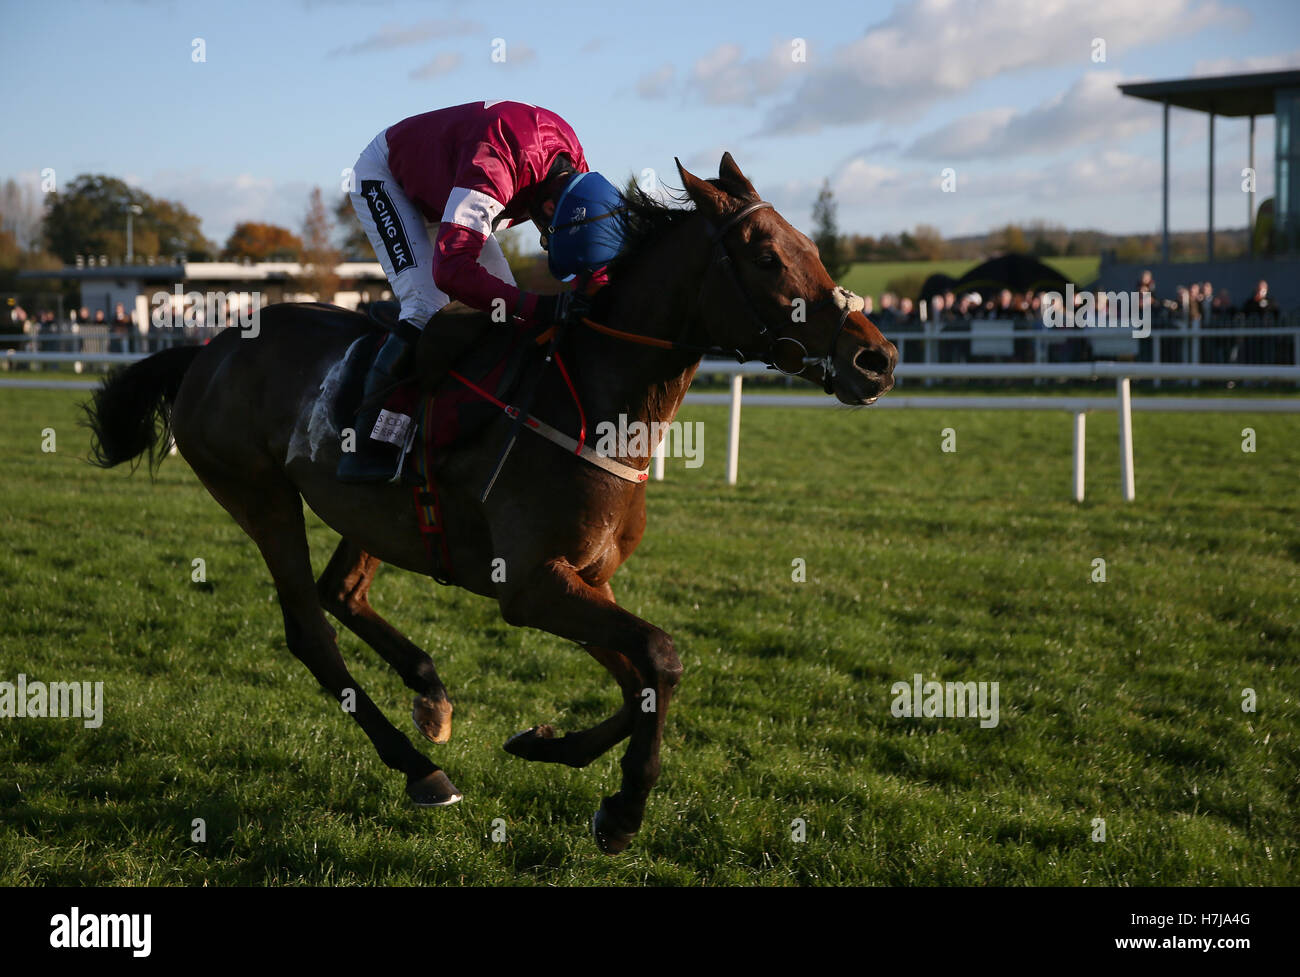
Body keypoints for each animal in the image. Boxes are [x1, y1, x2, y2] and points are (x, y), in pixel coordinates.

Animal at [78, 156, 894, 852]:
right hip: (261, 496)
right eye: (766, 256)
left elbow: (642, 680)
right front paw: (624, 810)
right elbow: (662, 659)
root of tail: (208, 347)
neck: (596, 398)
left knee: (342, 591)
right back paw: (420, 769)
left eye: (809, 245)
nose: (876, 357)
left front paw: (548, 746)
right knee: (311, 630)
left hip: (368, 513)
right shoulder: (530, 585)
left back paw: (430, 693)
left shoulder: (587, 579)